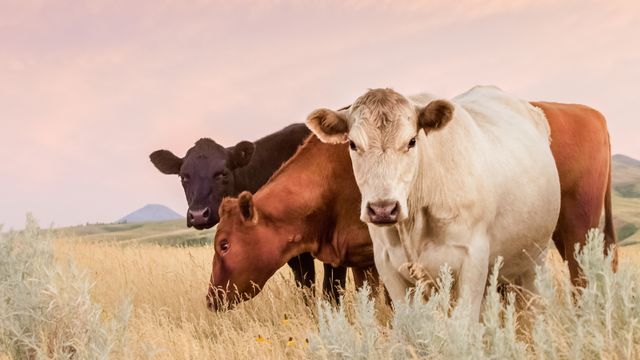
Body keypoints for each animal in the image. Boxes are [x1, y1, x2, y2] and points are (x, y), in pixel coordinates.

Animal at [149, 125, 348, 300]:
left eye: (222, 173)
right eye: (183, 176)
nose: (198, 214)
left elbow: (332, 290)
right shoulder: (296, 256)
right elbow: (306, 289)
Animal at [306, 86, 560, 320]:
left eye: (411, 141)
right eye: (352, 144)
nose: (383, 209)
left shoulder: (473, 258)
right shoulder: (388, 266)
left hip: (534, 261)